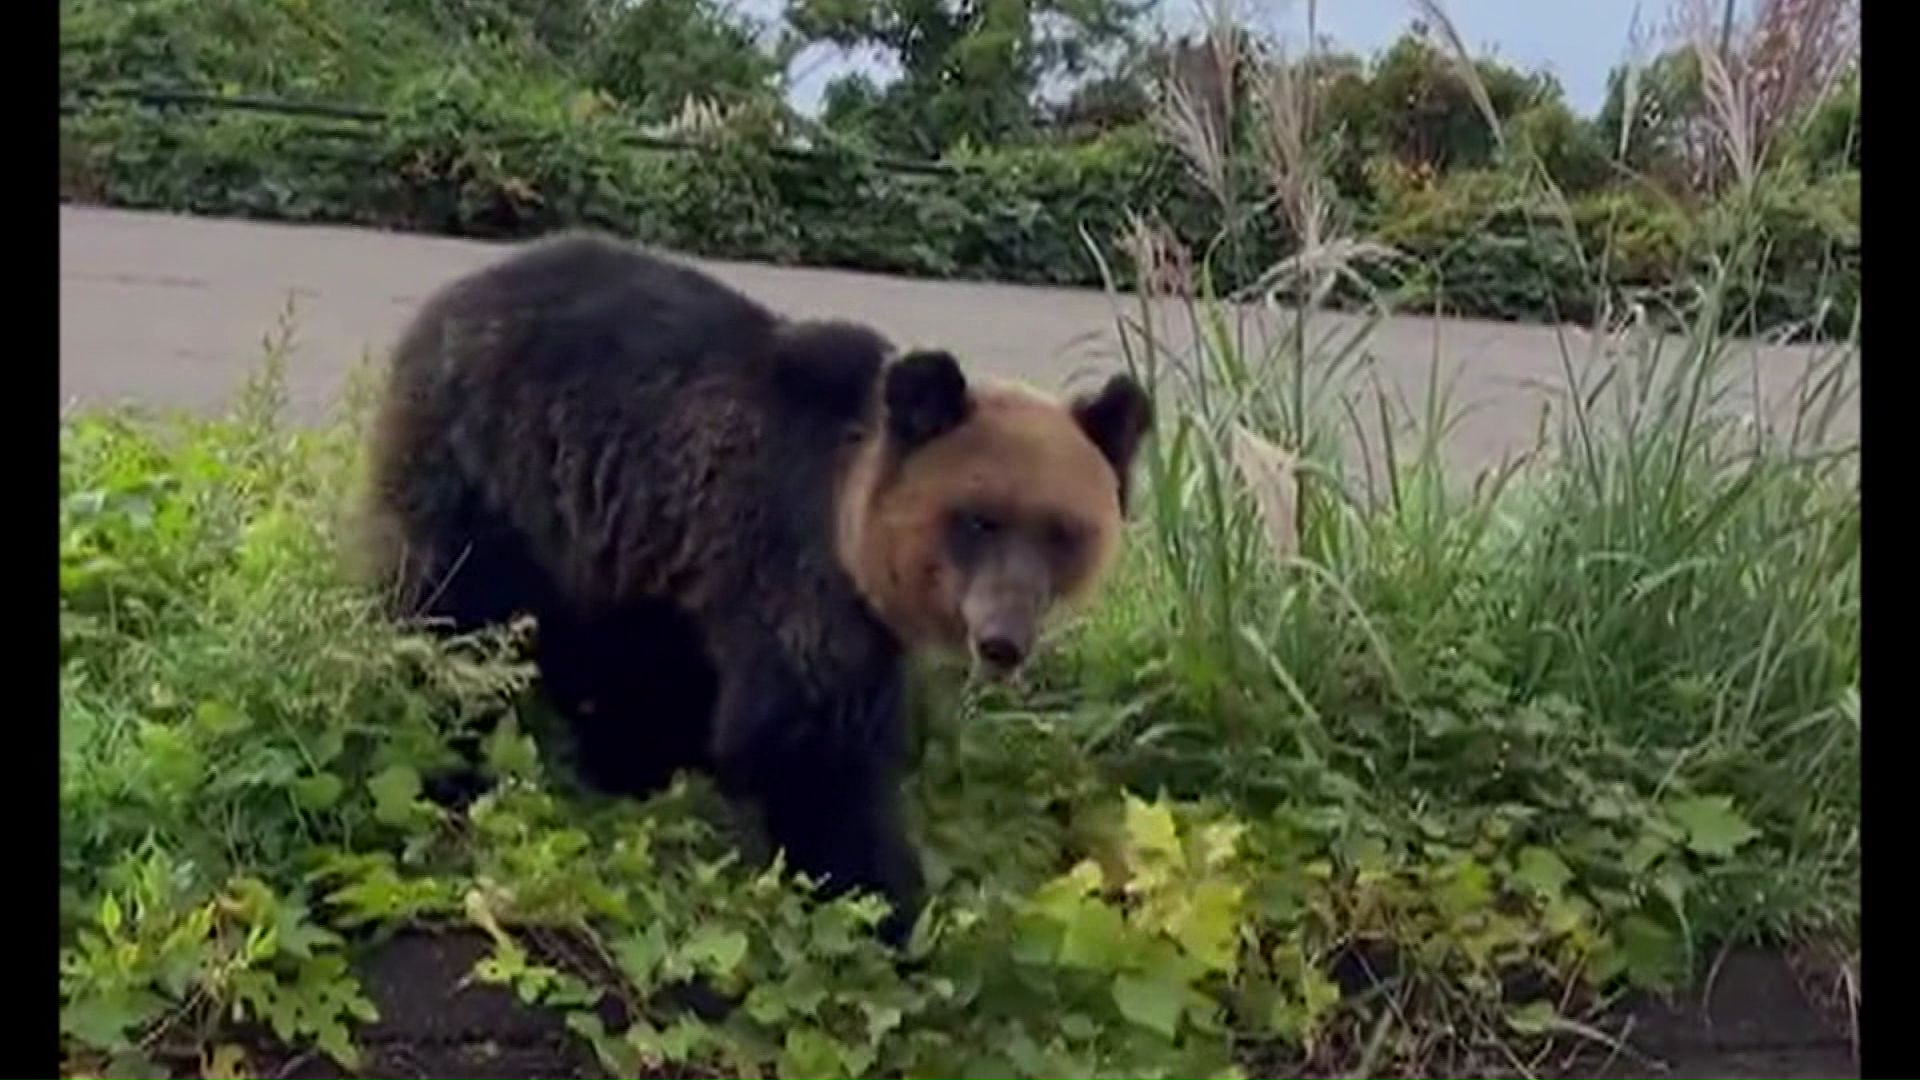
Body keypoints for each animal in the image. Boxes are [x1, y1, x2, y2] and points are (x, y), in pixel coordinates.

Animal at [357, 231, 1152, 937]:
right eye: (979, 519)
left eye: (1063, 532)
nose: (1003, 639)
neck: (848, 522)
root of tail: (449, 300)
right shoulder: (793, 568)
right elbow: (804, 741)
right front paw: (885, 902)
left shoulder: (690, 560)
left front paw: (646, 765)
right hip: (489, 470)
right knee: (455, 617)